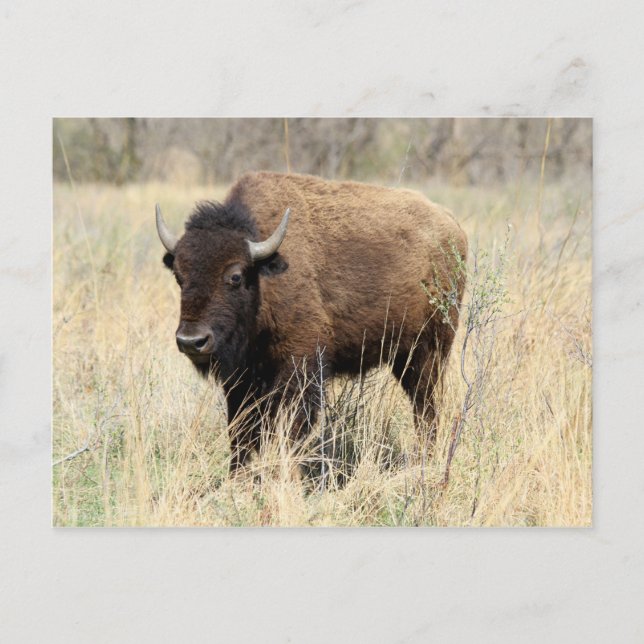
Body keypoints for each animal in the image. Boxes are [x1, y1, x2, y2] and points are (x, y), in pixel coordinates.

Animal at [156, 172, 467, 474]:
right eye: (179, 276)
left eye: (235, 276)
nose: (191, 341)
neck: (265, 274)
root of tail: (453, 228)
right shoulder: (242, 379)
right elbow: (241, 433)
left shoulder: (300, 369)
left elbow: (291, 429)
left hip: (428, 352)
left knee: (426, 406)